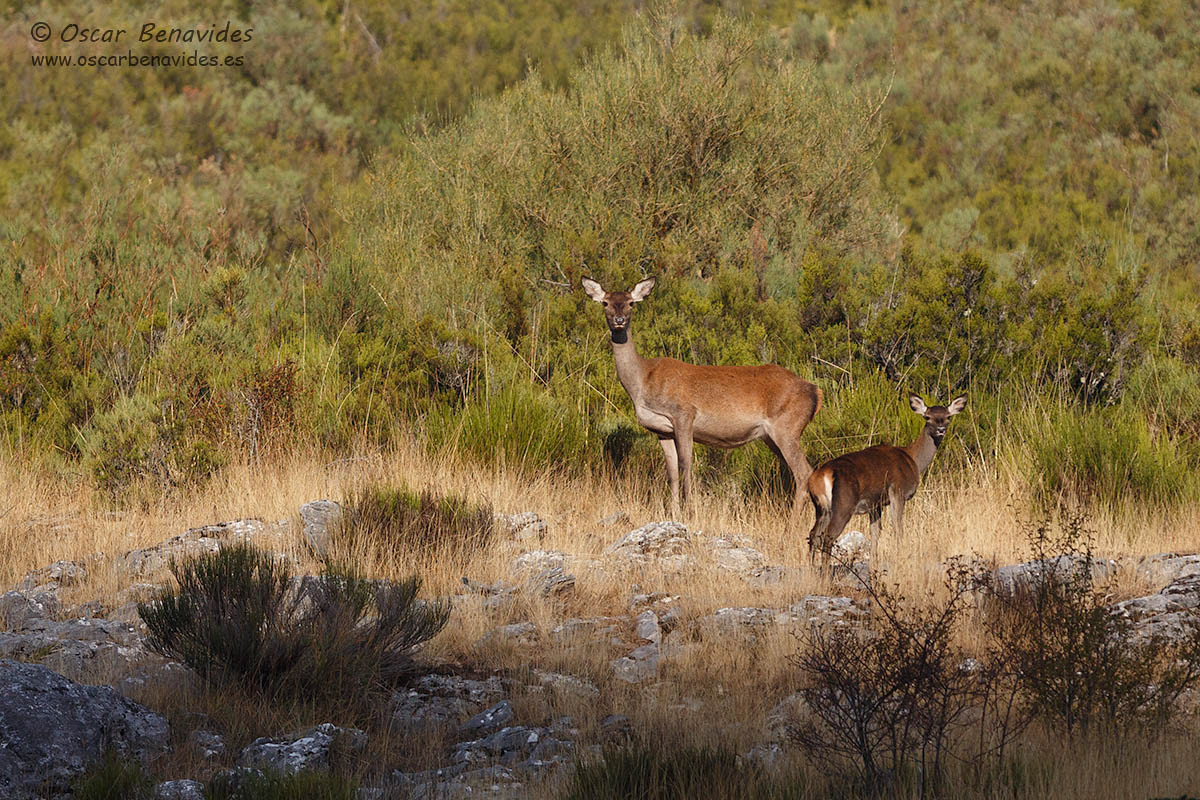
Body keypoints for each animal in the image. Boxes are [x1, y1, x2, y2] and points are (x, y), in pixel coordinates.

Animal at [582, 276, 822, 516]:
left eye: (631, 302)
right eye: (605, 303)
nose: (619, 320)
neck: (642, 383)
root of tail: (815, 391)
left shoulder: (684, 414)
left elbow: (686, 465)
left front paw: (690, 510)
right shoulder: (662, 430)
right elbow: (672, 473)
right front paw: (675, 512)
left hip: (787, 427)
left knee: (804, 473)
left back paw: (794, 520)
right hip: (772, 436)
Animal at [806, 394, 967, 573]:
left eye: (948, 416)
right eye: (927, 417)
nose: (941, 429)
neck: (913, 460)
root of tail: (820, 476)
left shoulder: (875, 504)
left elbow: (875, 532)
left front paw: (873, 566)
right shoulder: (897, 491)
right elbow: (897, 527)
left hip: (822, 508)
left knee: (813, 535)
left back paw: (812, 572)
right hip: (843, 504)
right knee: (828, 537)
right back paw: (825, 575)